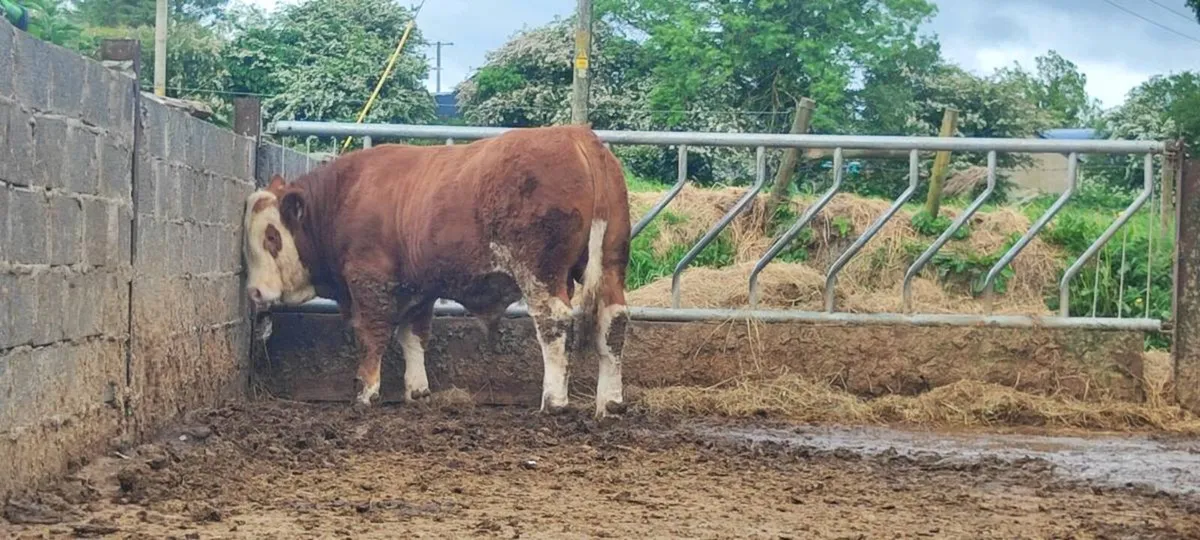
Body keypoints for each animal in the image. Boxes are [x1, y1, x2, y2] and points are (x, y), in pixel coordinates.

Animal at [242, 125, 632, 419]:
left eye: (272, 236)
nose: (255, 292)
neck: (343, 198)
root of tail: (574, 134)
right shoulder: (418, 288)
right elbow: (413, 335)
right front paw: (417, 390)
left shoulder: (369, 281)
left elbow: (372, 335)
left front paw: (366, 392)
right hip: (612, 264)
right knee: (613, 321)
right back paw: (610, 402)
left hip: (540, 272)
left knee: (553, 323)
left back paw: (553, 401)